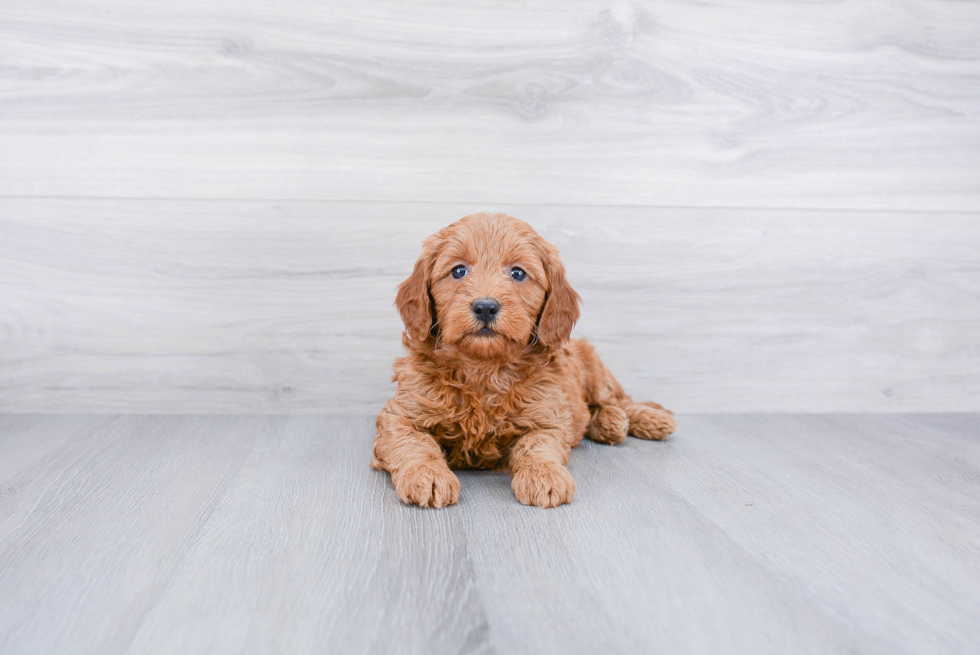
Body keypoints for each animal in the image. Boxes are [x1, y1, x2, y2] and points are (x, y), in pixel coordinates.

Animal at [370, 213, 672, 510]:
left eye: (517, 273)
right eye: (458, 271)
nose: (485, 307)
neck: (484, 368)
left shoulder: (549, 416)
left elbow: (537, 444)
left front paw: (544, 475)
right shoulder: (400, 415)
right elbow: (415, 443)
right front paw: (427, 475)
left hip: (595, 371)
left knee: (619, 400)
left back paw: (648, 419)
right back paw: (609, 423)